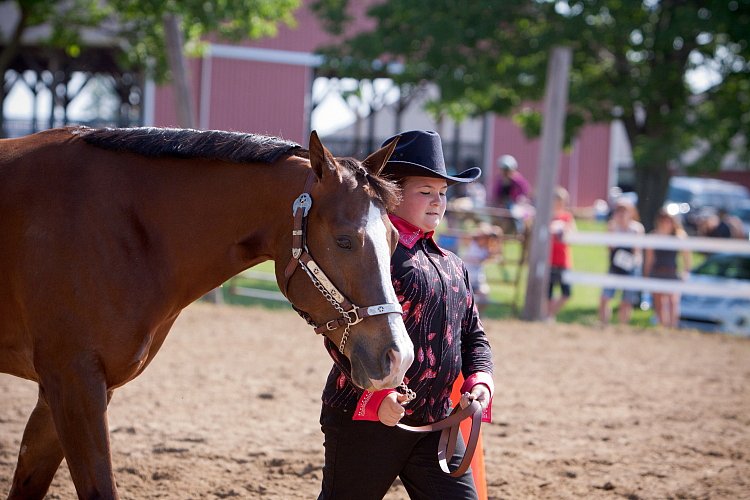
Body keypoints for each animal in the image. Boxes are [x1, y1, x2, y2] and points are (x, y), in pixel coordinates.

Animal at [0, 127, 414, 498]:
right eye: (344, 240)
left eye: (394, 238)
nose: (399, 356)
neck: (121, 228)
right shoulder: (73, 382)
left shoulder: (67, 391)